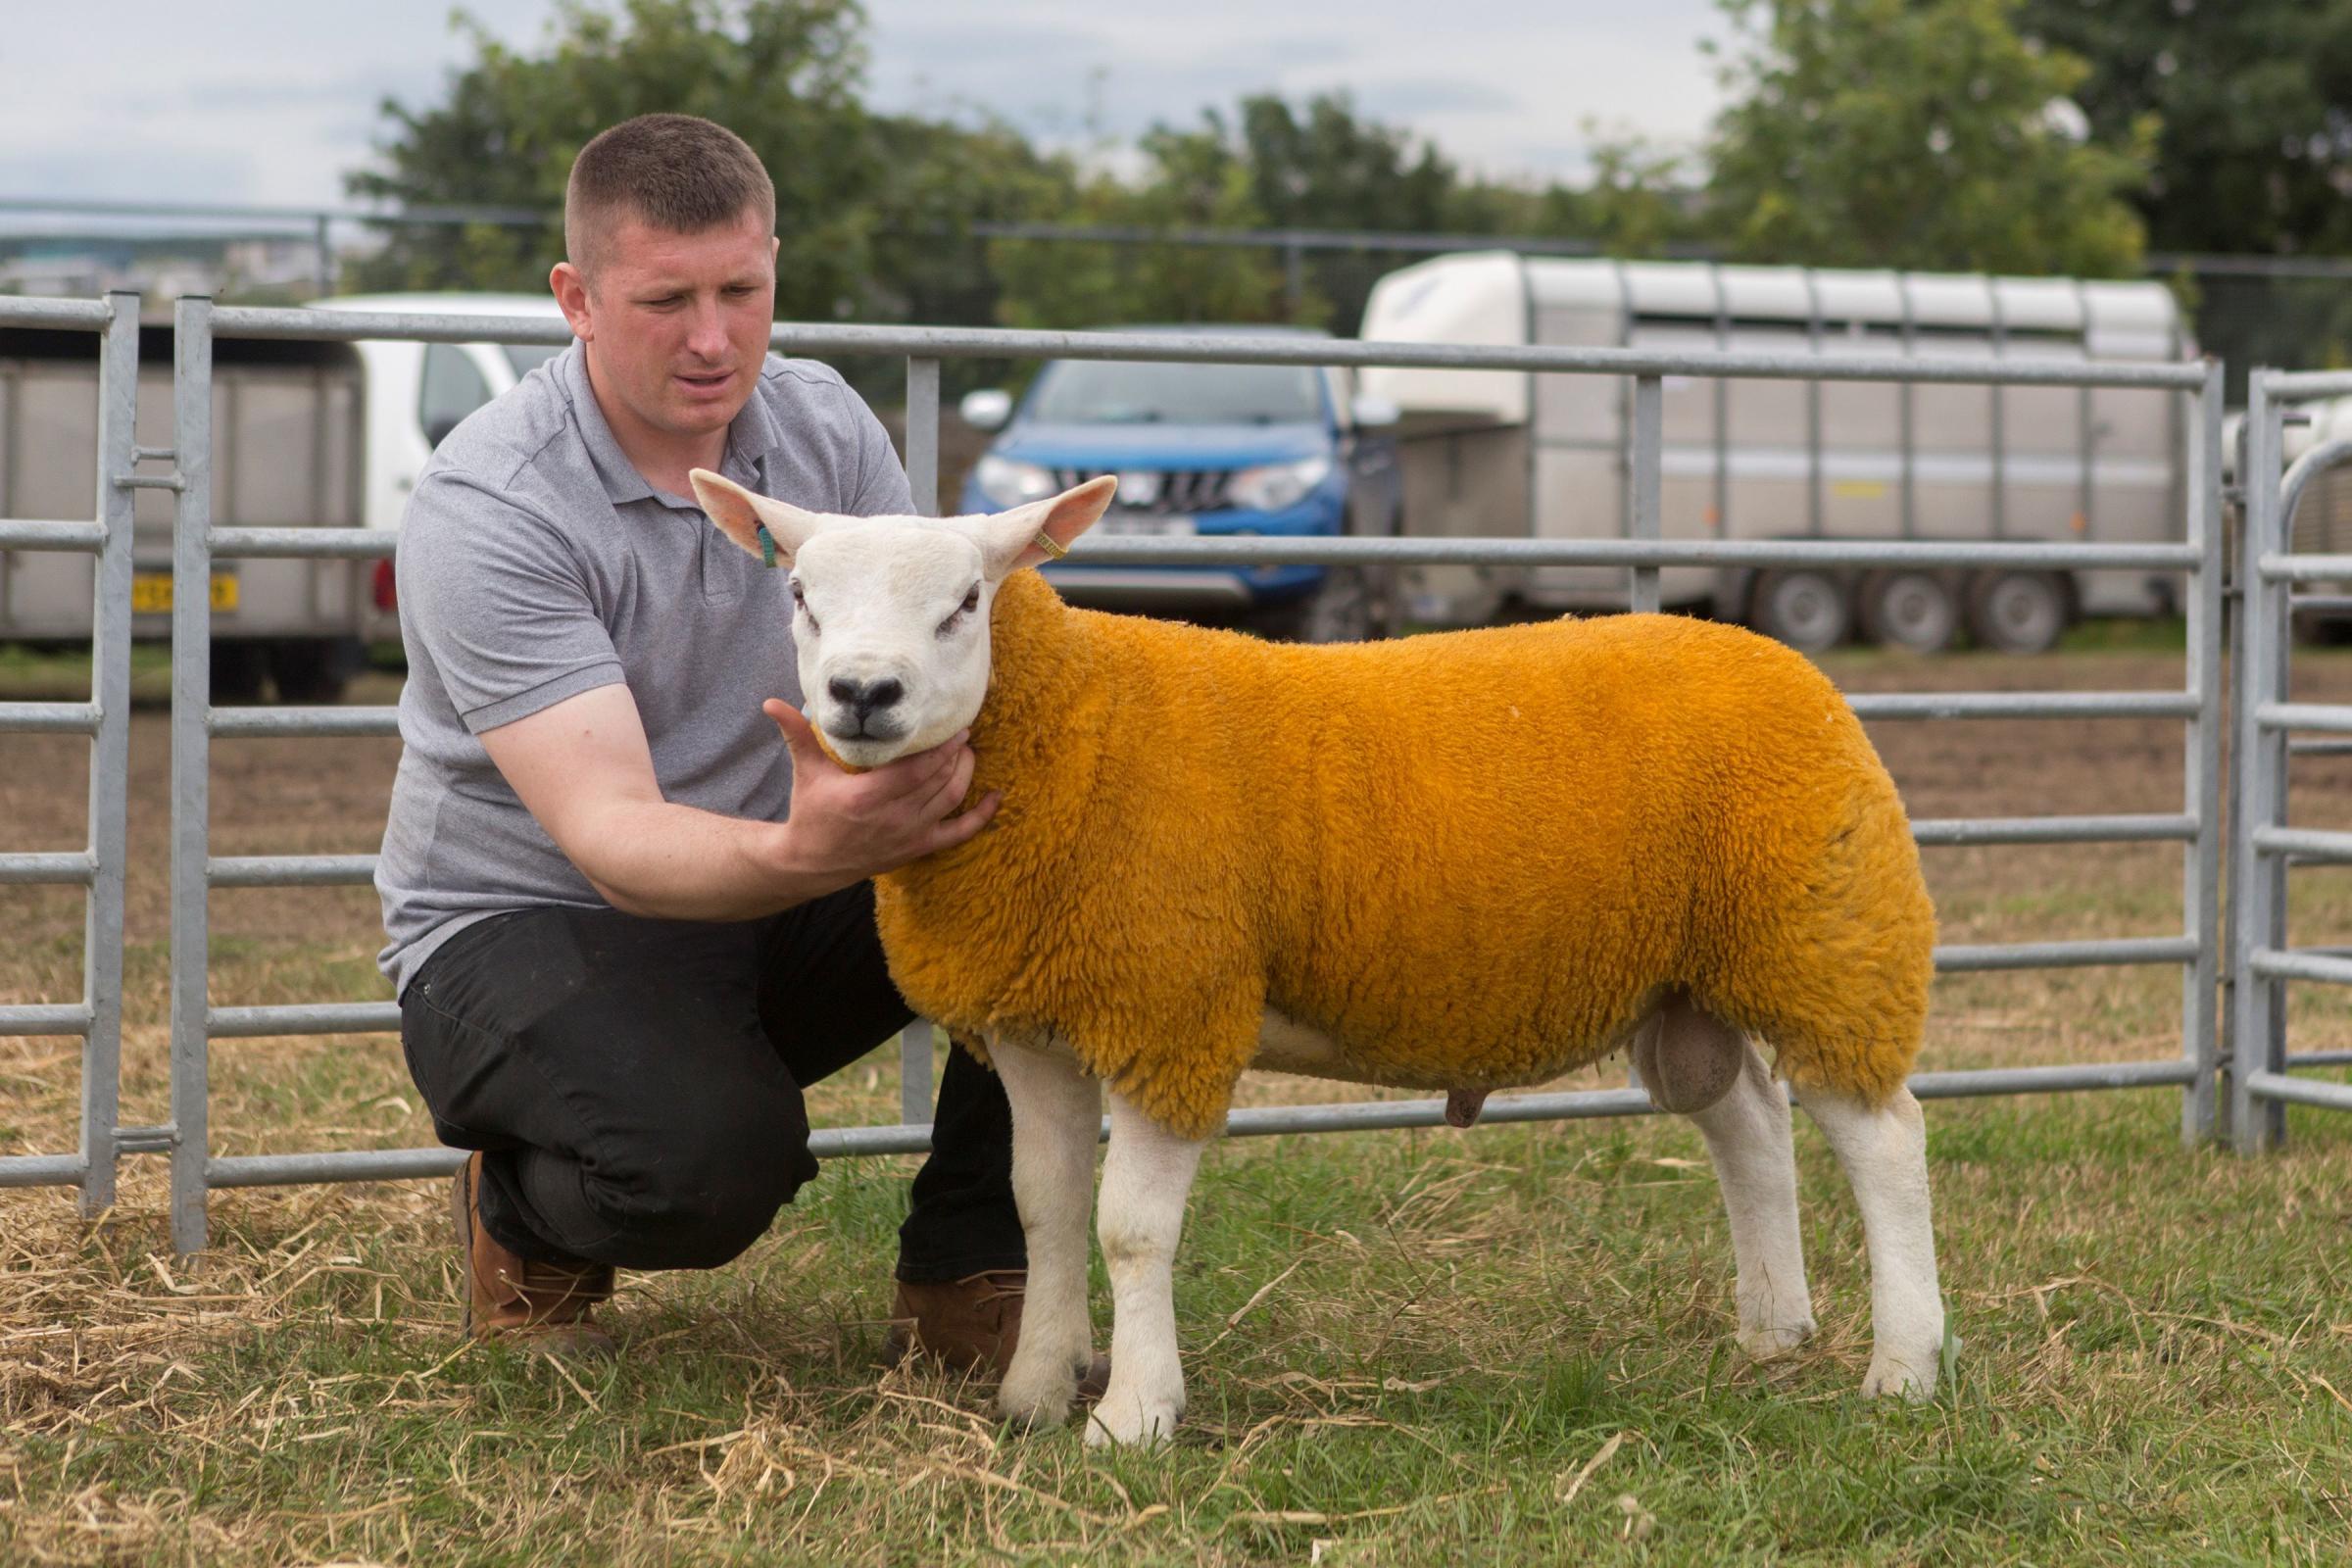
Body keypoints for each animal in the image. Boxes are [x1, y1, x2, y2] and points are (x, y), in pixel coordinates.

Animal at [686, 463, 1947, 1447]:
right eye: (798, 595)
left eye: (964, 602)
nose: (863, 692)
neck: (1077, 726)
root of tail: (1783, 662)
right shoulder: (1034, 1020)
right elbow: (1045, 1209)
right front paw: (1035, 1393)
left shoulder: (1172, 1004)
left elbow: (1130, 1226)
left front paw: (1134, 1415)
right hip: (1691, 976)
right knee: (1750, 1128)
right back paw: (1771, 1332)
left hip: (1825, 937)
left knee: (1883, 1138)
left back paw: (1904, 1368)